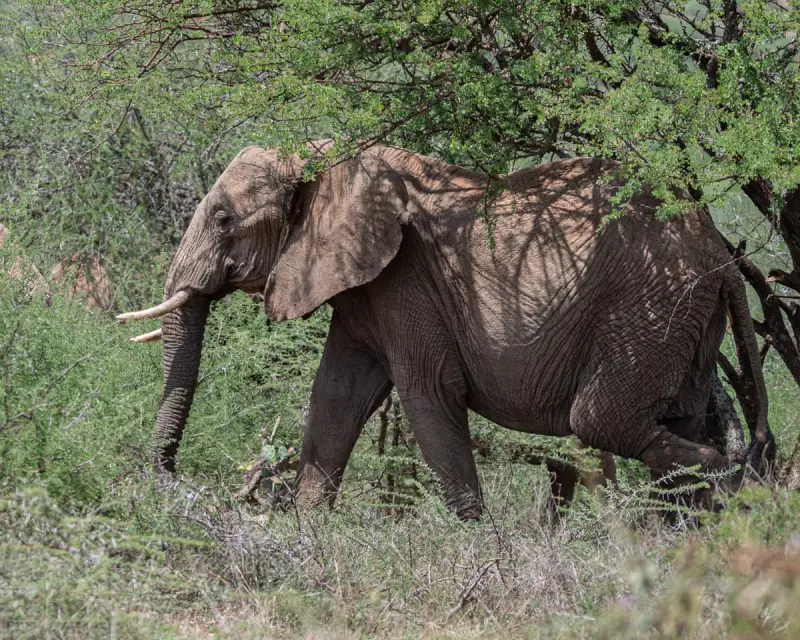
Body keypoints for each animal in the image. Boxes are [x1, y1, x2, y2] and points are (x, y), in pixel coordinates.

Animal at [119, 142, 774, 519]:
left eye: (222, 219)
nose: (172, 482)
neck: (325, 160)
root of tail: (720, 250)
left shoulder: (407, 280)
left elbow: (428, 396)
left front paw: (480, 545)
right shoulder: (365, 289)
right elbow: (335, 397)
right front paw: (306, 531)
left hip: (649, 307)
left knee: (600, 421)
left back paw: (733, 491)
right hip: (681, 320)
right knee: (671, 418)